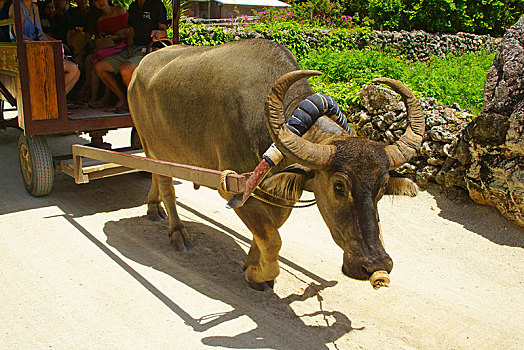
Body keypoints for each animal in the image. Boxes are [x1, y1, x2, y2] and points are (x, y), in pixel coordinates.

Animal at [128, 37, 426, 290]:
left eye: (382, 188)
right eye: (339, 187)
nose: (375, 265)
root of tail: (140, 67)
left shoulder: (279, 192)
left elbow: (271, 227)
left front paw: (252, 263)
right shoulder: (235, 190)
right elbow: (272, 240)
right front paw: (257, 274)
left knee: (155, 177)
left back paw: (153, 208)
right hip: (153, 145)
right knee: (166, 185)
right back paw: (178, 233)